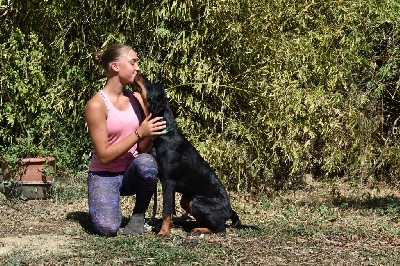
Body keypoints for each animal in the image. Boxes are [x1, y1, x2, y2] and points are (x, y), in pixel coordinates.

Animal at [134, 75, 241, 237]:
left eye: (151, 84)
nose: (139, 73)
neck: (164, 134)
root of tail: (229, 211)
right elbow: (170, 211)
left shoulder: (168, 182)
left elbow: (166, 211)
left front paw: (164, 232)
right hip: (186, 199)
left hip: (196, 201)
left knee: (220, 228)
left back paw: (199, 229)